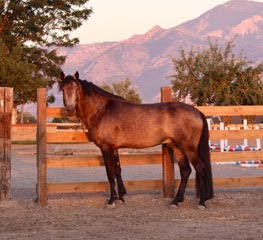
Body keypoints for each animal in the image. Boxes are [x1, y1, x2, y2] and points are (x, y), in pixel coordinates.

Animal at [59, 71, 214, 208]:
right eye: (62, 89)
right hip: (177, 147)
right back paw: (176, 201)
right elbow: (117, 170)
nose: (70, 109)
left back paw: (201, 203)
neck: (103, 110)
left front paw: (111, 200)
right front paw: (121, 197)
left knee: (200, 168)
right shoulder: (114, 148)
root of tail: (197, 112)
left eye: (76, 88)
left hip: (189, 148)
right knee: (185, 171)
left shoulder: (106, 148)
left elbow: (110, 173)